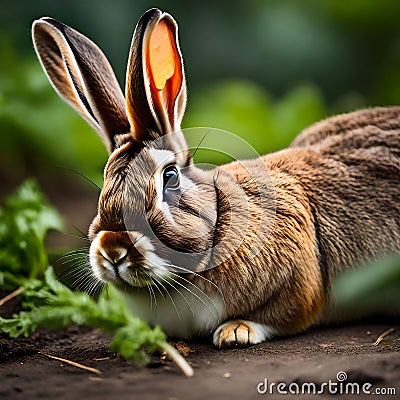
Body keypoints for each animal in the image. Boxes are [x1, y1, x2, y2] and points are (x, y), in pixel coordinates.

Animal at [32, 7, 398, 348]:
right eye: (105, 182)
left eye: (170, 177)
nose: (113, 249)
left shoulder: (298, 283)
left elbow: (286, 314)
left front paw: (235, 332)